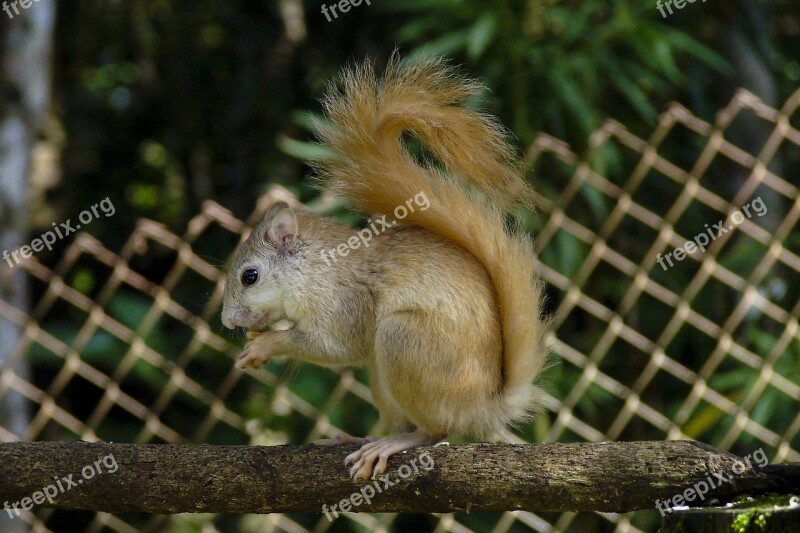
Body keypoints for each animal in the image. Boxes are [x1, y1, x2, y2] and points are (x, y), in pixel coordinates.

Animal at [222, 56, 552, 480]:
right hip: (382, 376)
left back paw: (392, 444)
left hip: (404, 339)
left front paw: (265, 344)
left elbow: (337, 346)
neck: (314, 268)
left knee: (434, 430)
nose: (228, 321)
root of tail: (483, 407)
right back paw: (362, 439)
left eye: (250, 276)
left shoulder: (344, 300)